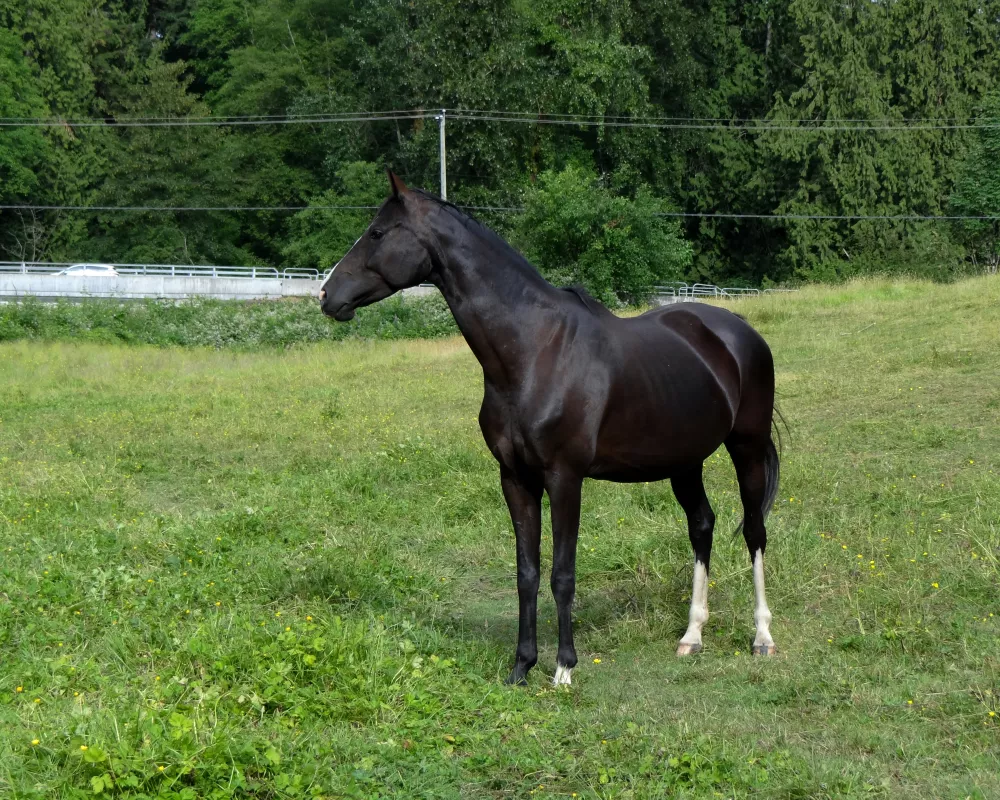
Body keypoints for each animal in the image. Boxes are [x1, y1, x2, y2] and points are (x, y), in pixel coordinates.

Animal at [320, 172, 780, 684]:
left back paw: (762, 637)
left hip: (746, 448)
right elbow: (528, 573)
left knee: (755, 531)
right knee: (702, 526)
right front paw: (522, 666)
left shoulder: (565, 478)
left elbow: (562, 573)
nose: (327, 296)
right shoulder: (515, 478)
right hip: (686, 460)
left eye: (377, 233)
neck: (535, 351)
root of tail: (737, 329)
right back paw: (692, 636)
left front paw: (563, 668)